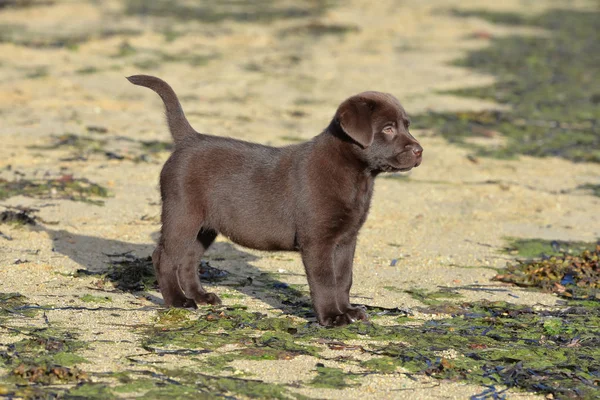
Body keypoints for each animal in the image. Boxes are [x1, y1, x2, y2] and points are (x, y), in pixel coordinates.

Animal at [126, 75, 422, 324]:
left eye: (406, 126)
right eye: (388, 129)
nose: (420, 150)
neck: (356, 176)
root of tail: (188, 139)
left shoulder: (346, 239)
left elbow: (343, 279)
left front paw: (347, 311)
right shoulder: (318, 241)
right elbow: (325, 281)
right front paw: (332, 317)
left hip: (205, 226)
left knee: (188, 260)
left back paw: (200, 296)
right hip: (182, 214)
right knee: (164, 257)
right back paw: (177, 301)